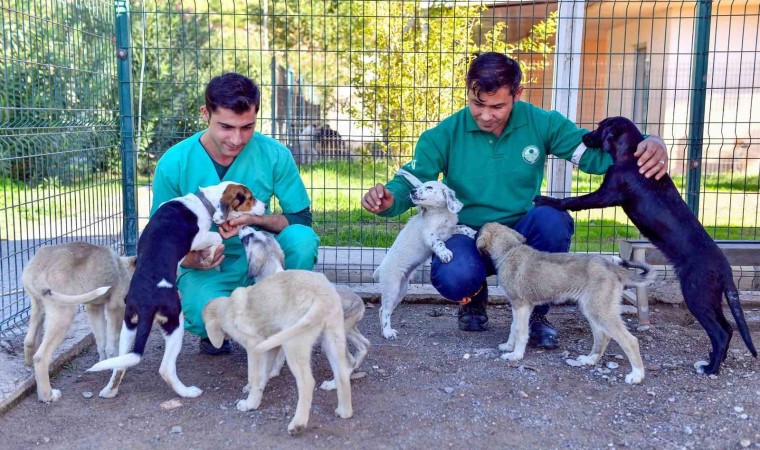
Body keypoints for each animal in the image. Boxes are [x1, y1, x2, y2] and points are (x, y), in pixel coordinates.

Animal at [20, 241, 137, 402]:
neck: (123, 267)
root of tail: (36, 269)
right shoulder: (116, 307)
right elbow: (112, 343)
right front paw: (114, 362)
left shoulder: (94, 307)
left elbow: (101, 340)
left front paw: (103, 362)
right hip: (63, 313)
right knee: (41, 357)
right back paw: (48, 395)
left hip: (38, 306)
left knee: (29, 342)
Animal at [203, 270, 354, 436]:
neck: (228, 307)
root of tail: (321, 295)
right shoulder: (271, 346)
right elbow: (264, 373)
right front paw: (257, 389)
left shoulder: (254, 346)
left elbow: (254, 376)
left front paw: (250, 403)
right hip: (332, 339)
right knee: (342, 374)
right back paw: (344, 412)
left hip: (293, 343)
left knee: (307, 382)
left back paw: (298, 424)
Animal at [238, 227, 368, 388]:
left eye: (249, 236)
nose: (243, 227)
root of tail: (358, 300)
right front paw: (273, 373)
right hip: (347, 329)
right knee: (364, 346)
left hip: (331, 337)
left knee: (349, 361)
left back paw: (332, 384)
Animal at [478, 221, 652, 384]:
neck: (509, 250)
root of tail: (612, 267)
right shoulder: (518, 306)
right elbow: (513, 328)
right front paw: (508, 347)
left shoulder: (521, 305)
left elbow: (520, 331)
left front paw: (516, 355)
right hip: (592, 310)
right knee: (603, 337)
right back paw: (589, 360)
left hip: (600, 311)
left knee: (630, 340)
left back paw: (637, 375)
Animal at [532, 114, 756, 374]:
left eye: (600, 127)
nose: (584, 136)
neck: (630, 155)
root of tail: (725, 268)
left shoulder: (606, 194)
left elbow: (572, 201)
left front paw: (546, 199)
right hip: (710, 298)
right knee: (728, 329)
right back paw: (713, 361)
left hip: (697, 295)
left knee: (720, 332)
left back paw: (710, 368)